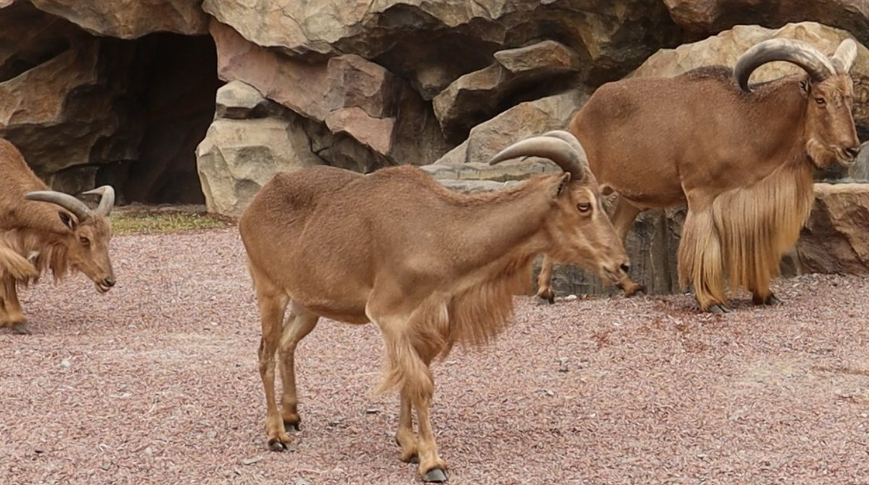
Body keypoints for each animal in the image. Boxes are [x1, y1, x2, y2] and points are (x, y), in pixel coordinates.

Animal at [237, 131, 632, 480]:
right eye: (584, 205)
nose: (623, 265)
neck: (442, 235)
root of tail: (253, 206)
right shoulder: (389, 316)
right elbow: (420, 382)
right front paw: (431, 462)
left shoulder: (427, 323)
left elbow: (410, 381)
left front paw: (408, 445)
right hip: (270, 290)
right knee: (265, 352)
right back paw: (276, 434)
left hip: (308, 305)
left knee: (287, 345)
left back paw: (292, 415)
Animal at [516, 36, 860, 310]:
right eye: (820, 99)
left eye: (849, 98)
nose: (852, 149)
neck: (747, 120)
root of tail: (580, 116)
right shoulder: (701, 195)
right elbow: (703, 247)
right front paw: (711, 301)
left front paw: (765, 295)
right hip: (591, 181)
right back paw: (545, 291)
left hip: (631, 198)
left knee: (617, 228)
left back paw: (632, 287)